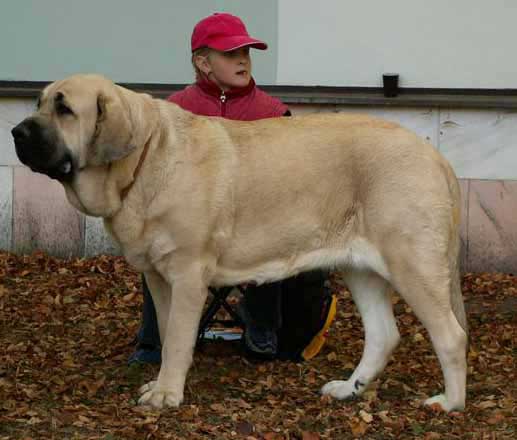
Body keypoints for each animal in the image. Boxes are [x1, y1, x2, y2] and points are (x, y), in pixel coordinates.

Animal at [11, 73, 468, 412]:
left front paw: (166, 394)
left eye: (65, 108)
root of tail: (435, 156)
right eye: (39, 103)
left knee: (451, 335)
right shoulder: (160, 278)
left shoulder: (188, 275)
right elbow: (169, 331)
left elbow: (177, 337)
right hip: (361, 269)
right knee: (382, 335)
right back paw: (348, 388)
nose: (15, 131)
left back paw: (450, 403)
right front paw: (162, 383)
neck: (143, 159)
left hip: (411, 263)